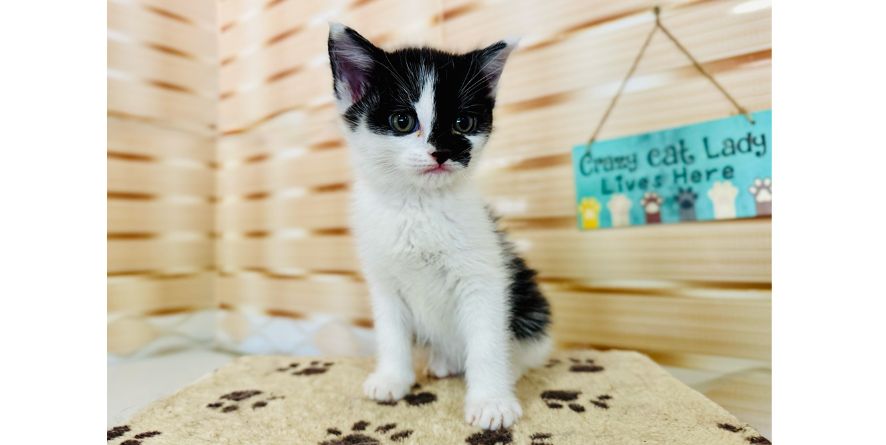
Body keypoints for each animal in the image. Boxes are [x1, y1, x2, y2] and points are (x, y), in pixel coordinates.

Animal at [327, 23, 552, 430]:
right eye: (403, 121)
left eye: (463, 123)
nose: (444, 151)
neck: (418, 205)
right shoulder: (383, 279)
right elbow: (391, 331)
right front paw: (392, 379)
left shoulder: (484, 274)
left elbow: (486, 339)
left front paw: (491, 401)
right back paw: (443, 362)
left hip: (531, 306)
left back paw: (510, 369)